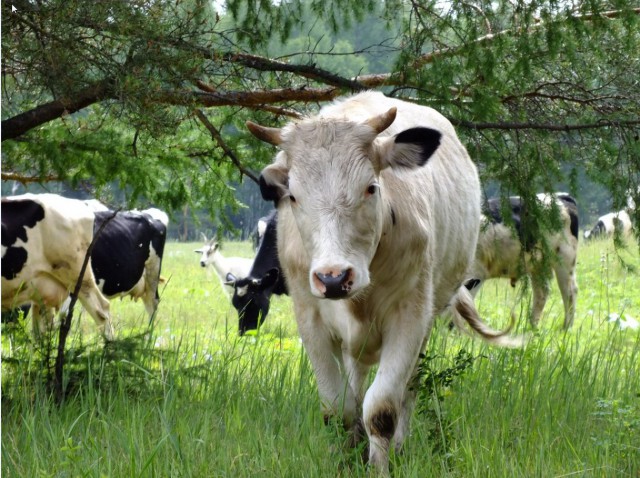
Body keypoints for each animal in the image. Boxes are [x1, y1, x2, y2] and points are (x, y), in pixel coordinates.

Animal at [248, 90, 524, 474]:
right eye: (293, 196)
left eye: (370, 187)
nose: (334, 278)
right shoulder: (311, 319)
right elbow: (338, 410)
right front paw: (344, 464)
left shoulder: (409, 317)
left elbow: (380, 409)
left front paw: (380, 467)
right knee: (356, 386)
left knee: (408, 388)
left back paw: (401, 447)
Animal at [464, 191, 580, 328]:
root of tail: (561, 196)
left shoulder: (476, 273)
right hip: (539, 264)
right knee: (542, 292)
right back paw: (532, 327)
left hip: (565, 256)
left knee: (570, 291)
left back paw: (566, 328)